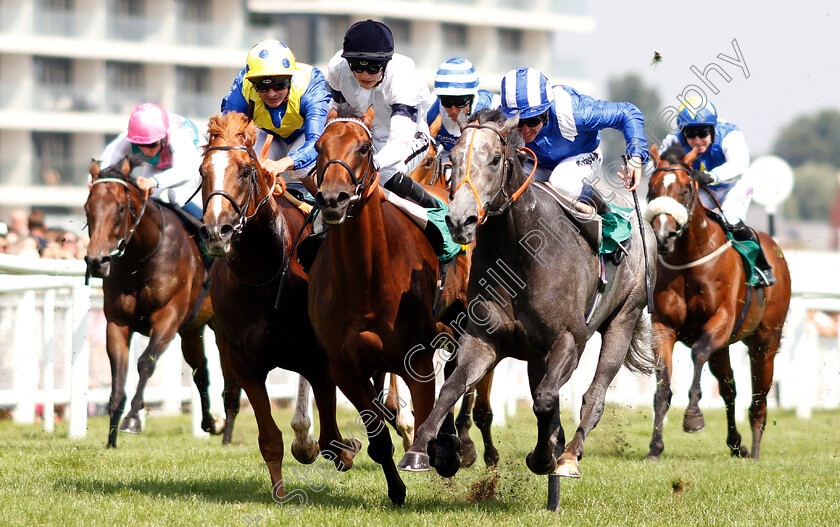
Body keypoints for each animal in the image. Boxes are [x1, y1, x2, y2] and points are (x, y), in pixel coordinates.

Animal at [84, 157, 235, 450]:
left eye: (120, 208)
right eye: (88, 208)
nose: (97, 261)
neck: (141, 258)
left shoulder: (168, 317)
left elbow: (145, 363)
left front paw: (133, 419)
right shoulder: (117, 323)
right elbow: (118, 376)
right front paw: (111, 439)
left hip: (223, 329)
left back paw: (228, 433)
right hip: (192, 330)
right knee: (201, 371)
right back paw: (212, 423)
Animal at [199, 113, 360, 502]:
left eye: (246, 170)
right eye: (202, 171)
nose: (217, 230)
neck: (264, 275)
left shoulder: (319, 358)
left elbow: (332, 437)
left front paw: (346, 448)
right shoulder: (244, 363)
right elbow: (270, 438)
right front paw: (281, 492)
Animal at [308, 105, 470, 506]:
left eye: (364, 148)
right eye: (319, 146)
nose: (333, 198)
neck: (365, 279)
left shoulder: (417, 360)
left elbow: (429, 419)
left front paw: (444, 452)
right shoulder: (344, 367)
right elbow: (379, 438)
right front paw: (396, 490)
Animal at [648, 142, 792, 460]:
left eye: (684, 190)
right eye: (651, 189)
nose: (663, 236)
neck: (690, 259)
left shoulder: (721, 322)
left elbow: (697, 353)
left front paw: (693, 417)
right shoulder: (663, 326)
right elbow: (663, 385)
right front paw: (655, 447)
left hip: (765, 341)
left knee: (759, 397)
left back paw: (755, 449)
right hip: (725, 348)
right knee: (730, 389)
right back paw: (736, 443)